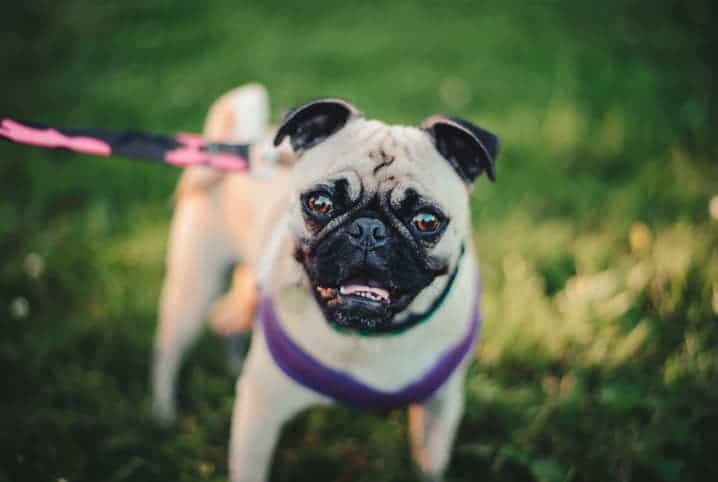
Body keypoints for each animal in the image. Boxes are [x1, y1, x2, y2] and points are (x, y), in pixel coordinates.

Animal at [152, 84, 500, 480]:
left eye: (427, 221)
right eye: (319, 202)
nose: (369, 230)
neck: (368, 335)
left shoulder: (439, 411)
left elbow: (429, 469)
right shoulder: (260, 411)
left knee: (226, 319)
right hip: (194, 288)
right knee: (169, 350)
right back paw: (163, 416)